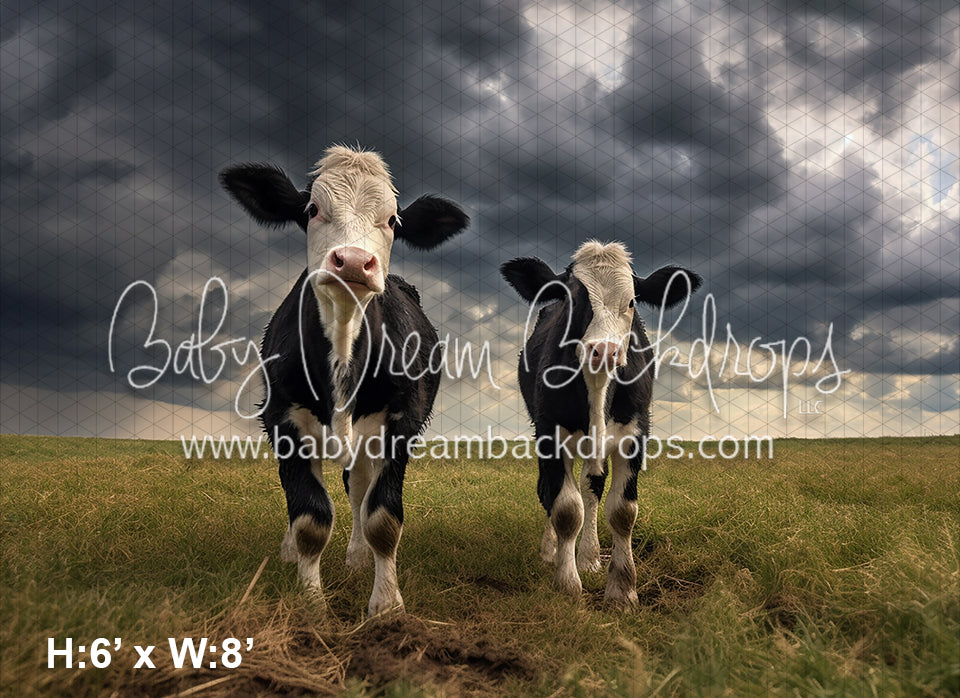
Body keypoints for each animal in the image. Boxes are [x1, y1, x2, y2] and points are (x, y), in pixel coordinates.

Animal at [220, 145, 468, 616]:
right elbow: (310, 517)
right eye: (312, 210)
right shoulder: (282, 418)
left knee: (358, 492)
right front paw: (311, 603)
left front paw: (386, 605)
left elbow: (381, 518)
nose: (352, 261)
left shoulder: (401, 421)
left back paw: (357, 556)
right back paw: (291, 551)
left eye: (392, 221)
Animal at [500, 241, 700, 607]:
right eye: (572, 298)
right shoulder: (549, 432)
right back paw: (552, 551)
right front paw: (566, 583)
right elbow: (565, 508)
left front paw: (622, 590)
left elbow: (622, 511)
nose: (604, 350)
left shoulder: (636, 433)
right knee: (550, 491)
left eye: (632, 301)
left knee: (591, 487)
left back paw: (589, 556)